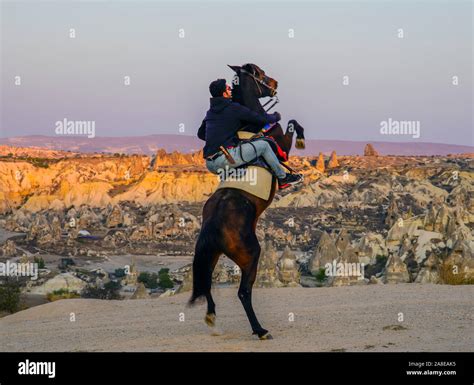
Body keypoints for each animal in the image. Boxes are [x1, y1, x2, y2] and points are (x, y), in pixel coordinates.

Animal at [190, 63, 306, 340]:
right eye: (260, 73)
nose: (275, 83)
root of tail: (213, 224)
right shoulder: (278, 141)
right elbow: (290, 124)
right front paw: (298, 149)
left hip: (211, 254)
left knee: (206, 283)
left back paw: (211, 317)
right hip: (250, 255)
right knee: (243, 292)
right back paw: (260, 329)